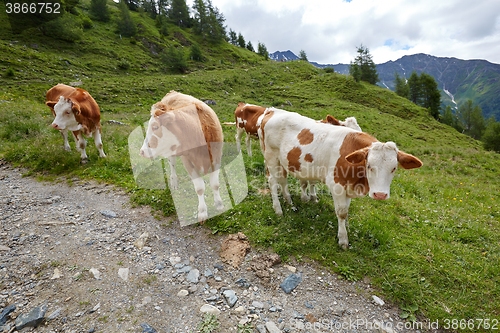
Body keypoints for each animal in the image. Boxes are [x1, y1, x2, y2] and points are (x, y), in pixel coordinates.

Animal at [137, 89, 223, 222]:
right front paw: (202, 212)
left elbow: (215, 184)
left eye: (155, 127)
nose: (142, 151)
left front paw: (219, 205)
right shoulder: (187, 161)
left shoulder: (217, 157)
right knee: (172, 165)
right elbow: (199, 187)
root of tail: (172, 92)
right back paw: (174, 182)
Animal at [258, 107, 422, 248]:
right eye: (369, 165)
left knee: (283, 179)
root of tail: (273, 110)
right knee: (272, 181)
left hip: (282, 160)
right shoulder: (337, 186)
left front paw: (346, 226)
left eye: (394, 168)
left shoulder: (348, 187)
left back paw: (289, 202)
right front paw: (343, 239)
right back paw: (278, 209)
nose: (380, 194)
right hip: (271, 156)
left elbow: (346, 209)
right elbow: (342, 212)